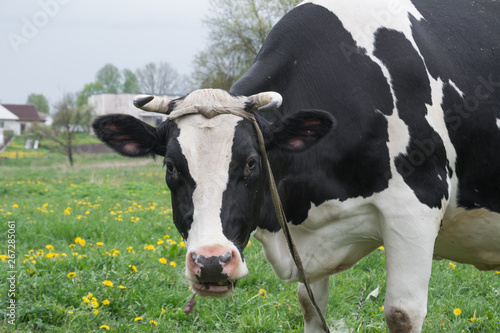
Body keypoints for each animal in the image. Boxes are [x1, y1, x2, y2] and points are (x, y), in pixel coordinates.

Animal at [91, 1, 500, 330]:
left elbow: (401, 314)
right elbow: (311, 306)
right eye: (172, 167)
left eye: (252, 162)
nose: (211, 262)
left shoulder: (415, 209)